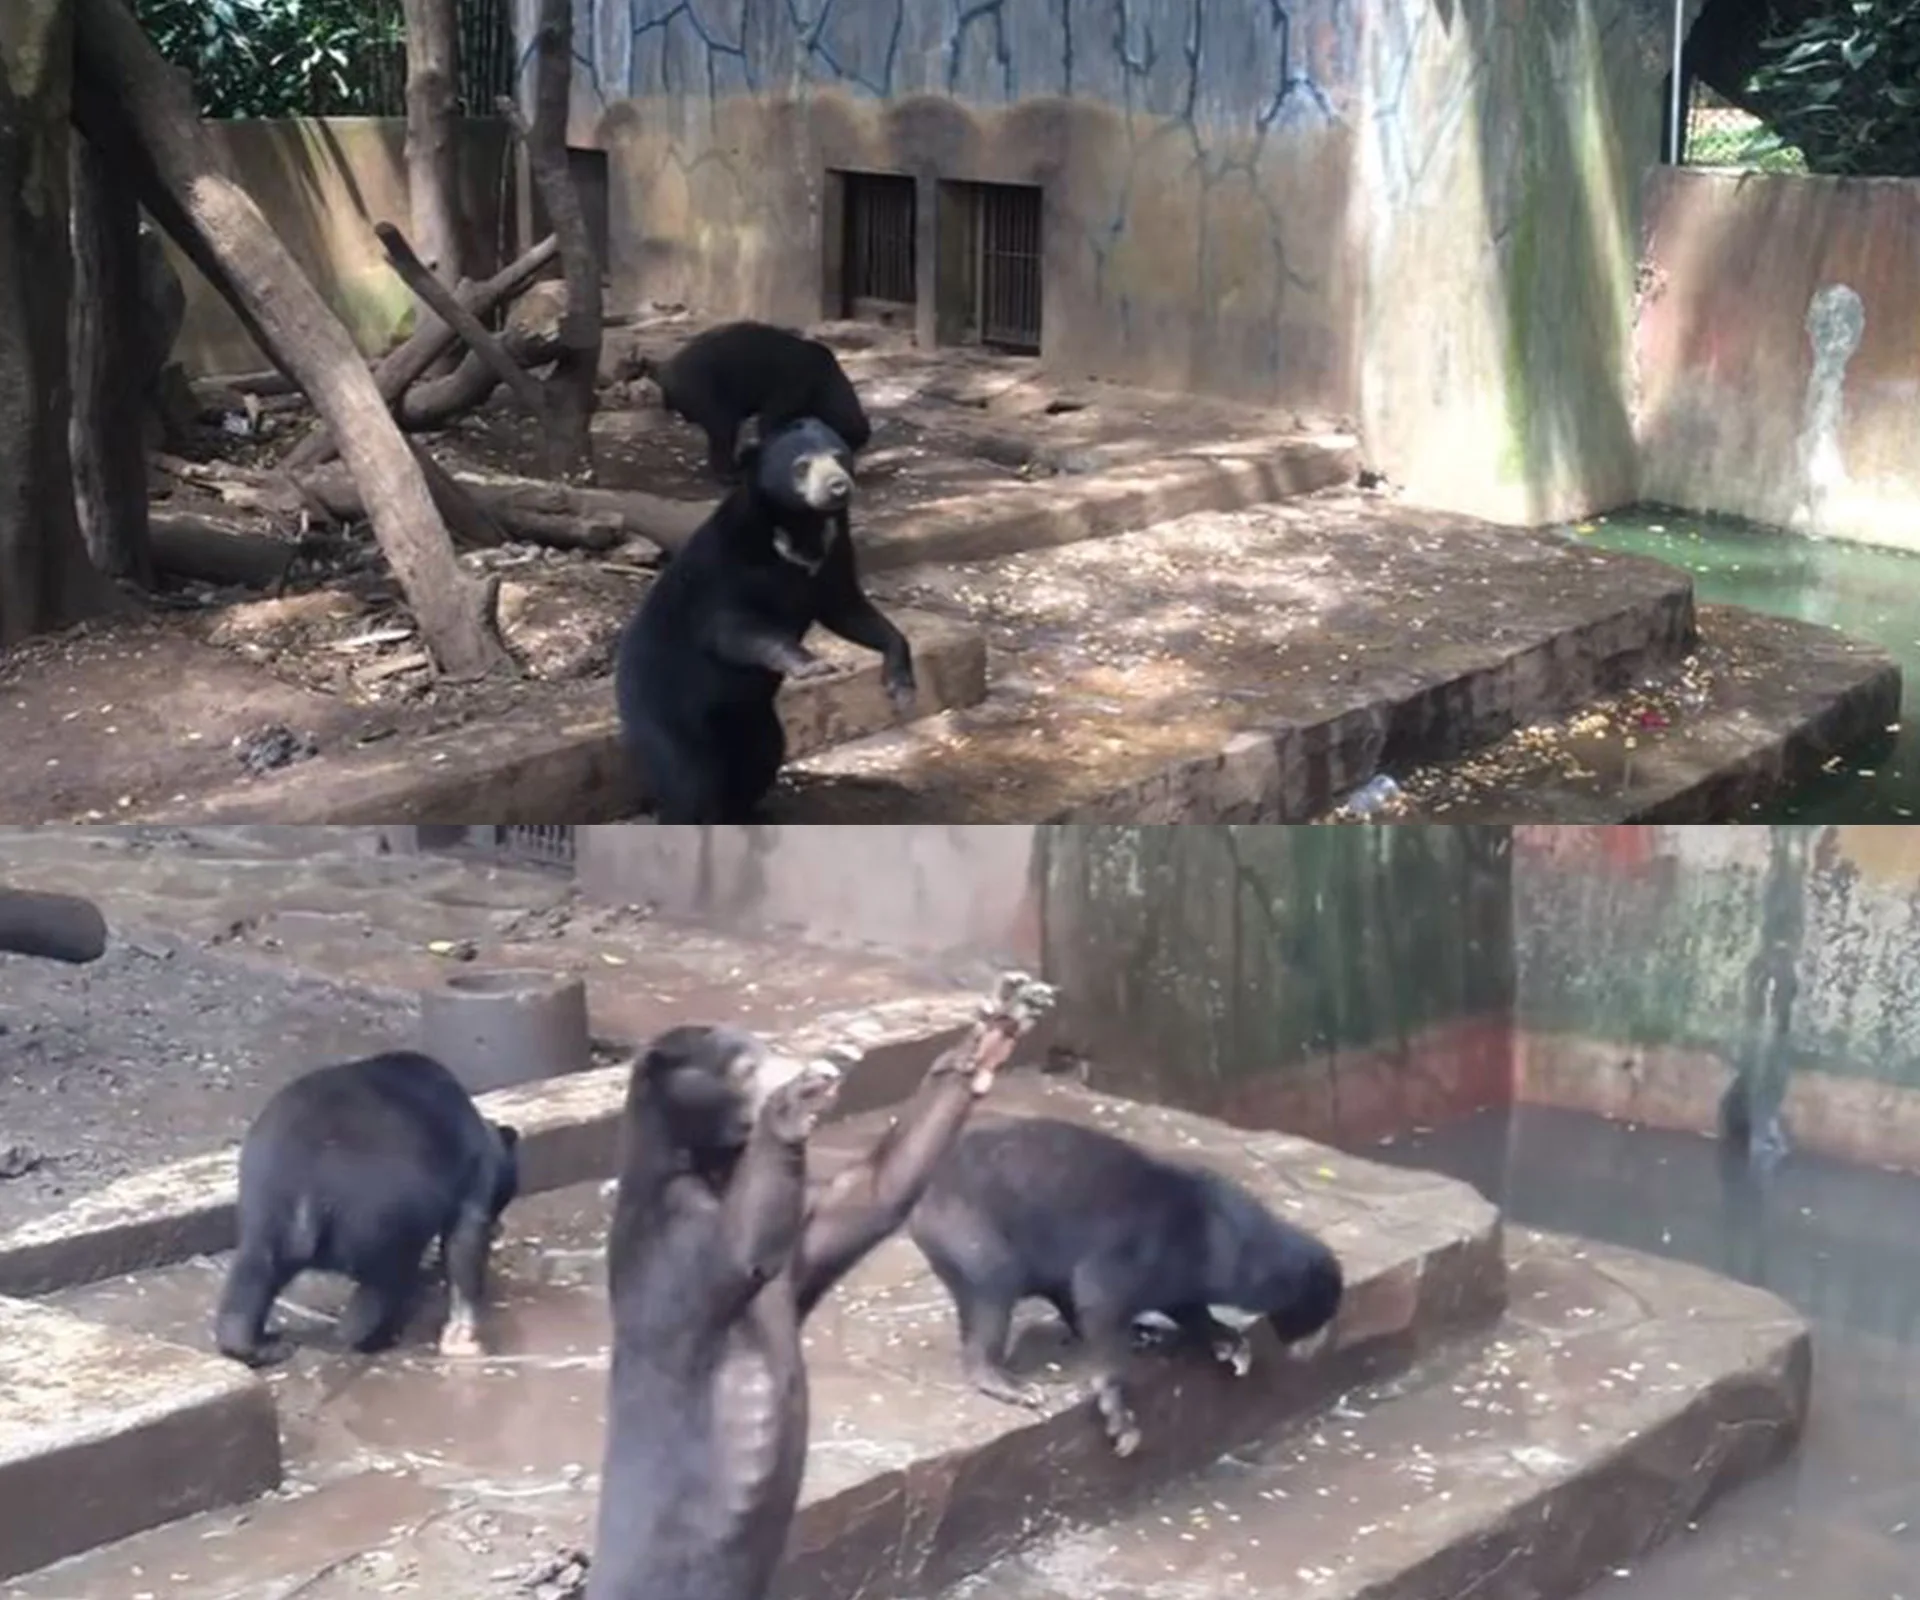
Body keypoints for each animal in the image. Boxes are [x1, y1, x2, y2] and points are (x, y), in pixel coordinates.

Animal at [587, 975, 1059, 1598]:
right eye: (744, 1065)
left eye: (762, 1045)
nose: (823, 1063)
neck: (710, 1170)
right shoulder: (672, 1237)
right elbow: (743, 1248)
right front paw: (795, 1103)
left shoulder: (802, 1241)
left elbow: (873, 1194)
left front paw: (997, 1026)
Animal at [614, 414, 913, 822]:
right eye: (801, 465)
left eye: (840, 456)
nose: (838, 487)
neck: (800, 528)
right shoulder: (729, 568)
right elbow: (736, 629)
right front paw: (814, 665)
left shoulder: (833, 555)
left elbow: (849, 610)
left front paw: (900, 684)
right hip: (662, 708)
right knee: (688, 780)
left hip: (754, 718)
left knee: (761, 756)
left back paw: (748, 812)